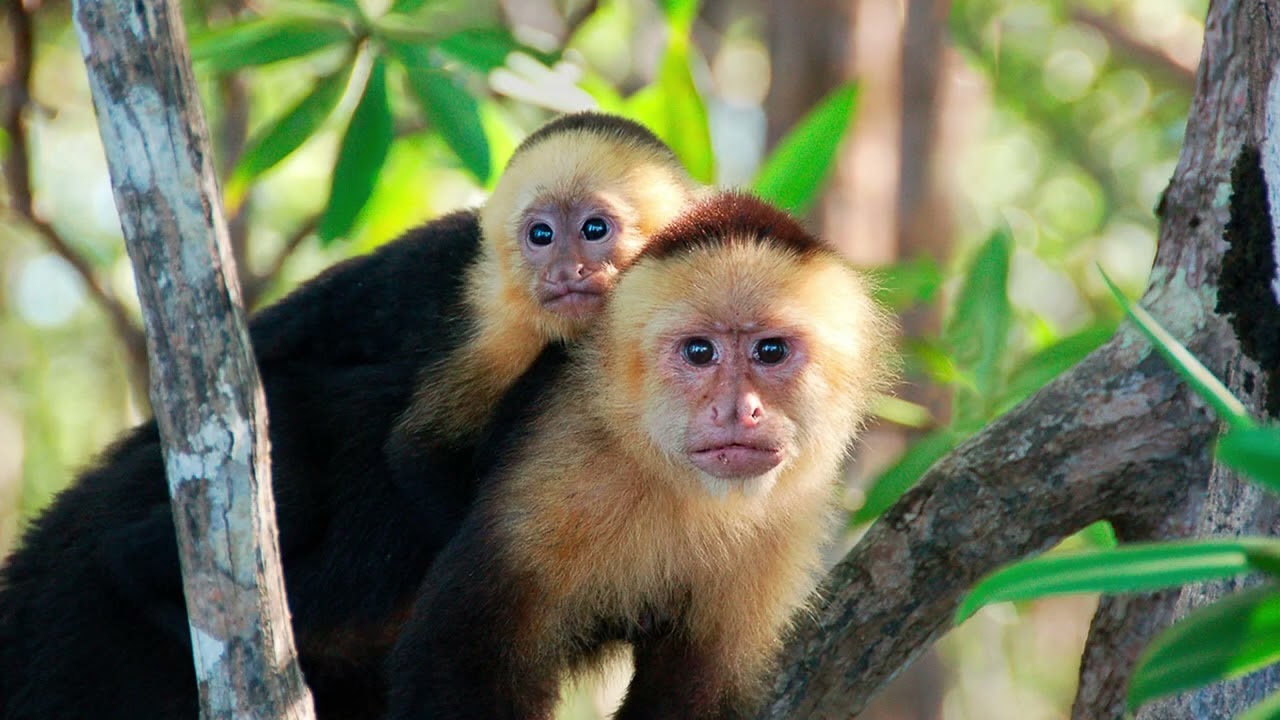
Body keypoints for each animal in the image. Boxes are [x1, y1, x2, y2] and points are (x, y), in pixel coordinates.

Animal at [384, 191, 895, 720]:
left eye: (770, 351)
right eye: (699, 352)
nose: (738, 410)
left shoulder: (786, 521)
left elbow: (693, 689)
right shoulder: (564, 465)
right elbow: (460, 660)